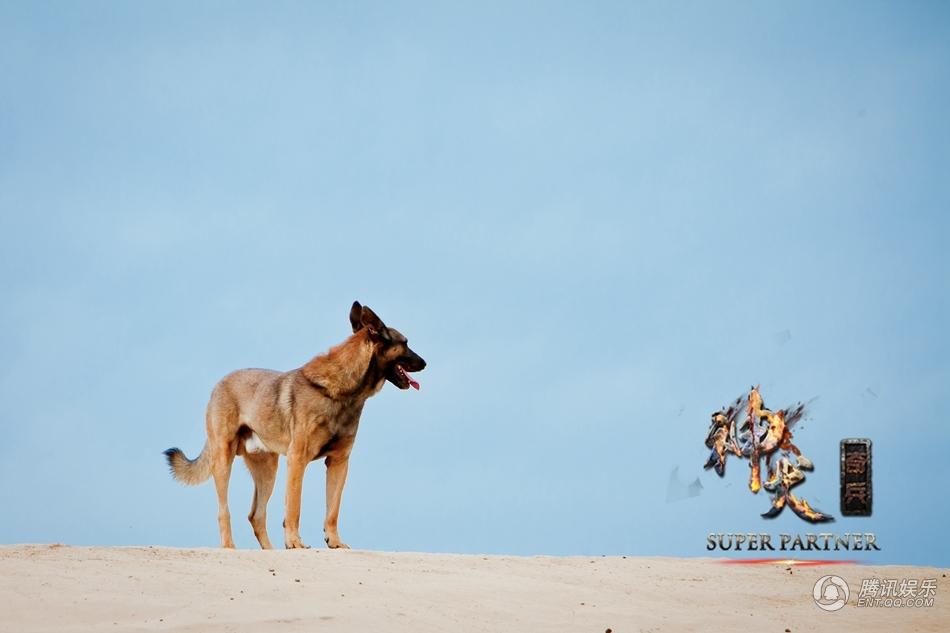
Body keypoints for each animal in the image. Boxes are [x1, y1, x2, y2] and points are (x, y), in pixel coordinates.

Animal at [165, 302, 426, 548]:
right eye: (405, 343)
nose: (425, 363)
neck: (344, 391)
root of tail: (219, 384)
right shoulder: (297, 459)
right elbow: (294, 507)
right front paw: (294, 542)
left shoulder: (339, 463)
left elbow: (333, 510)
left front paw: (334, 541)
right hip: (223, 460)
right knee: (224, 511)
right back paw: (230, 546)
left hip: (268, 470)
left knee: (256, 516)